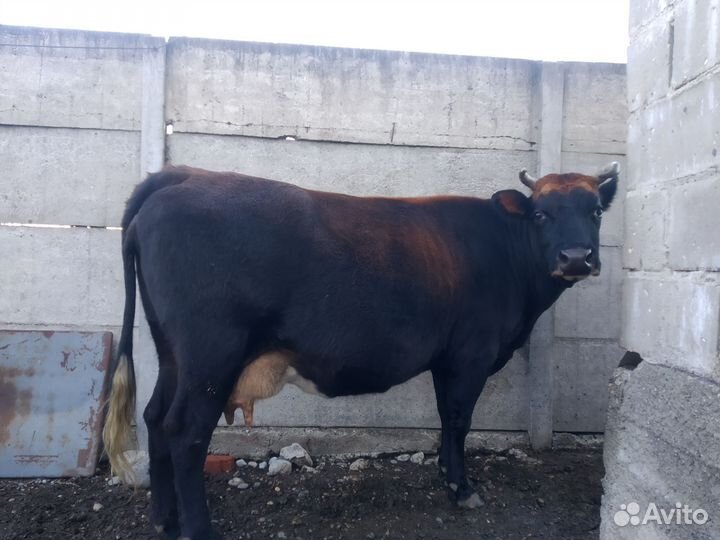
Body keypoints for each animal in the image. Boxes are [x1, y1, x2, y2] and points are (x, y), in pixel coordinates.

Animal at [103, 162, 619, 540]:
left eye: (596, 211)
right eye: (541, 214)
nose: (577, 257)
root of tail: (184, 174)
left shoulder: (446, 358)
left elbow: (446, 418)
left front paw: (446, 476)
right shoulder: (470, 355)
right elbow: (458, 419)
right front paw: (461, 488)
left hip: (174, 354)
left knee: (154, 417)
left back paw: (164, 519)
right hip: (211, 354)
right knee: (185, 431)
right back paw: (198, 529)